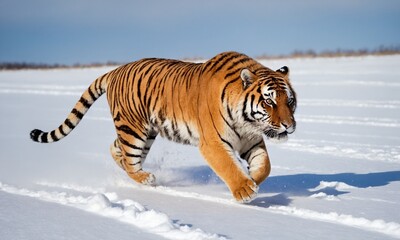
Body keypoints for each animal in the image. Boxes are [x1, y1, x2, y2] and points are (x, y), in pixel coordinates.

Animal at [29, 51, 296, 202]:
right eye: (269, 101)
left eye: (290, 101)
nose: (288, 125)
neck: (247, 122)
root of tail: (114, 70)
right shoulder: (213, 143)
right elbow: (228, 166)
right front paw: (244, 190)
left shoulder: (251, 139)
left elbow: (265, 166)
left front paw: (252, 179)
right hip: (134, 131)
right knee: (130, 159)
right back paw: (146, 178)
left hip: (144, 133)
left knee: (117, 150)